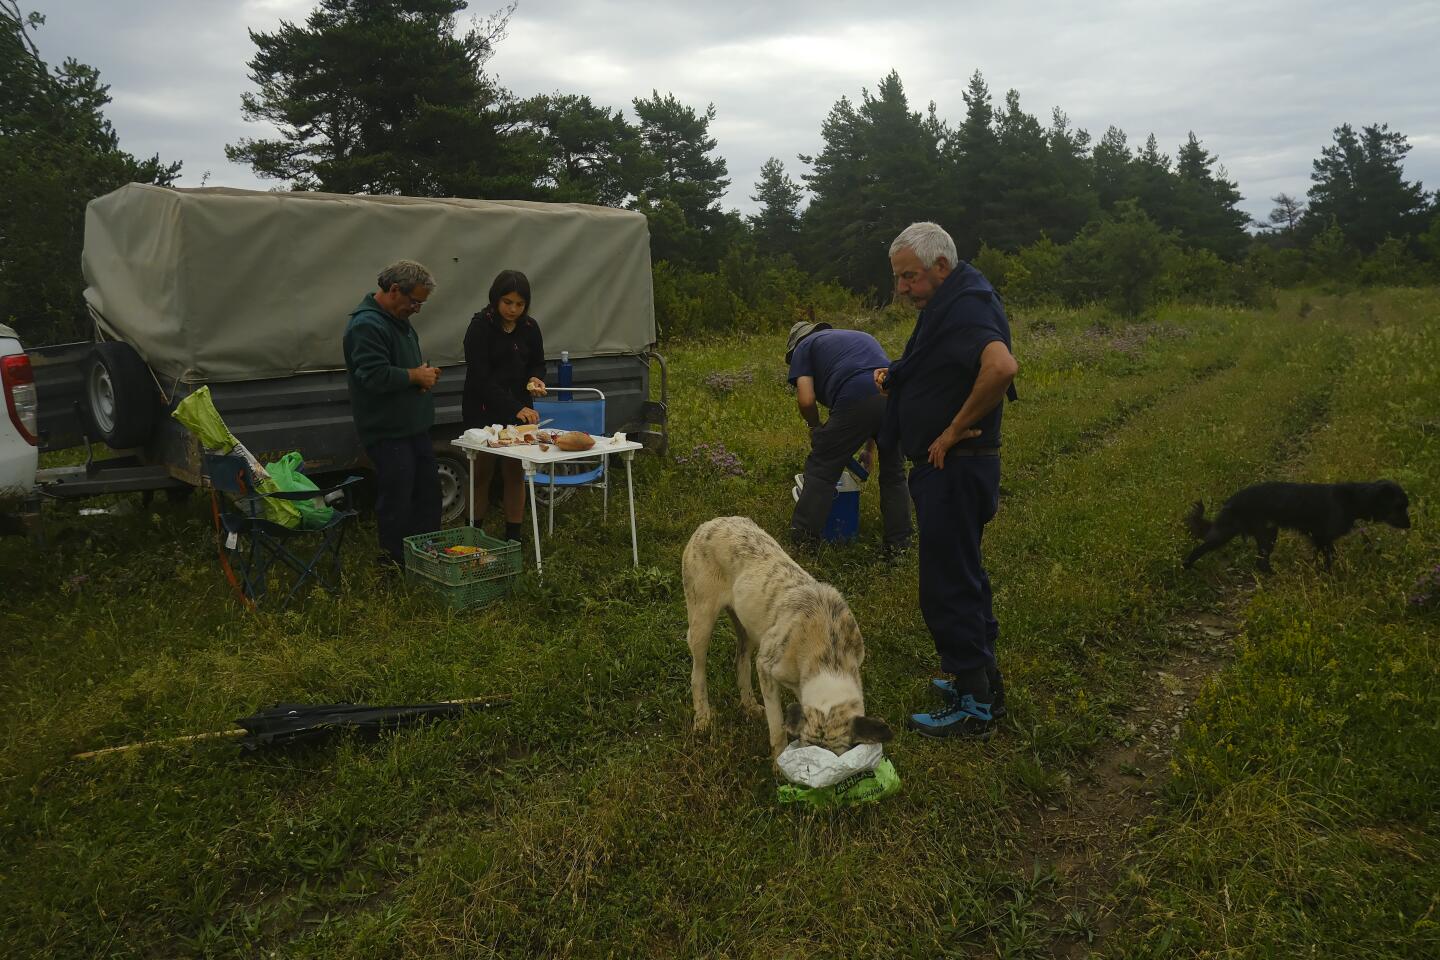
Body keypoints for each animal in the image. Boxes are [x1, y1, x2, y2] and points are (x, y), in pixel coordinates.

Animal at [682, 518, 892, 759]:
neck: (829, 651)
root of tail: (711, 522)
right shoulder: (766, 667)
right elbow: (777, 728)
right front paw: (778, 762)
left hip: (748, 627)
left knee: (740, 660)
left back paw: (749, 705)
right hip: (701, 620)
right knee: (698, 673)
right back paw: (703, 719)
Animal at [1186, 477, 1411, 569]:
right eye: (1400, 506)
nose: (1409, 525)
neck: (1354, 499)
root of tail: (1231, 500)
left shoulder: (1321, 539)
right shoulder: (1322, 536)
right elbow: (1329, 558)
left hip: (1268, 534)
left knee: (1261, 562)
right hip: (1228, 532)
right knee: (1198, 549)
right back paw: (1187, 566)